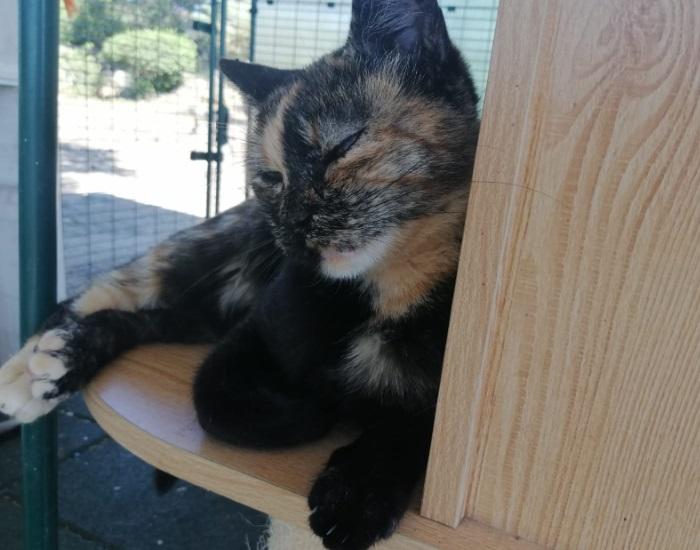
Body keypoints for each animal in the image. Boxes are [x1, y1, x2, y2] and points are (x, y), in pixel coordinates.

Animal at [0, 0, 479, 548]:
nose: (295, 222)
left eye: (342, 145)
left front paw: (357, 488)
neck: (382, 295)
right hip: (235, 255)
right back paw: (35, 366)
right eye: (270, 178)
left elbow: (418, 422)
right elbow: (214, 400)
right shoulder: (254, 332)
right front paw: (317, 408)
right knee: (129, 290)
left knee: (162, 317)